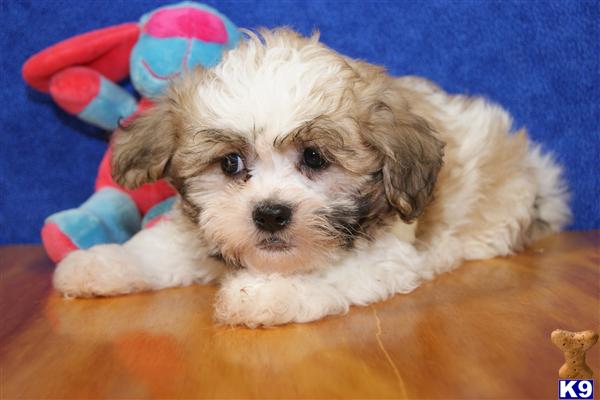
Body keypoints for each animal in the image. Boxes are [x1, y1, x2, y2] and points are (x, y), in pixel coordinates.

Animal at [52, 28, 572, 328]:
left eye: (316, 158)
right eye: (230, 164)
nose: (270, 214)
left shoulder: (387, 256)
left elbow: (329, 273)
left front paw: (266, 294)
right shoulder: (196, 231)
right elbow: (156, 248)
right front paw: (102, 263)